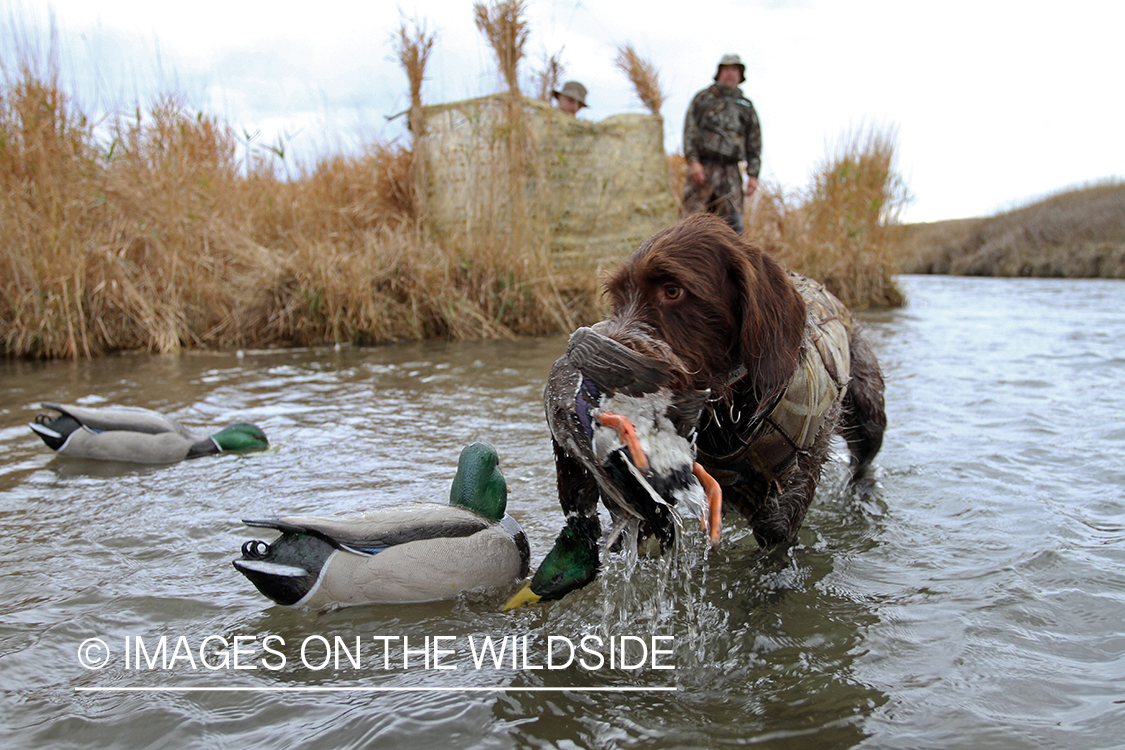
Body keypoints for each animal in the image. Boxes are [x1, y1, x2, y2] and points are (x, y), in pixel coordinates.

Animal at [603, 213, 882, 548]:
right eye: (618, 296)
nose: (604, 361)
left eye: (673, 290)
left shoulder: (781, 518)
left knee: (863, 463)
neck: (728, 407)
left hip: (869, 412)